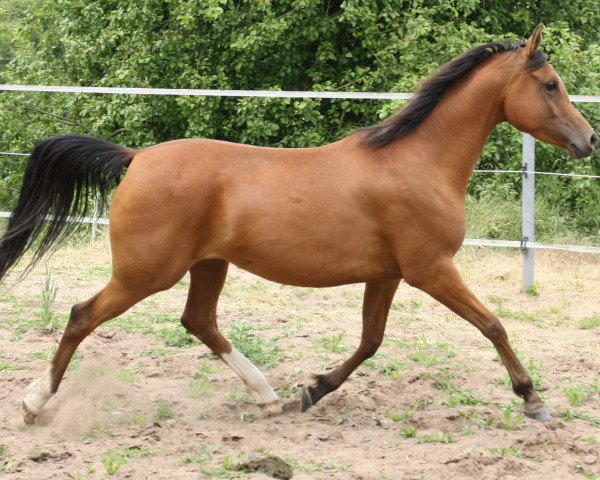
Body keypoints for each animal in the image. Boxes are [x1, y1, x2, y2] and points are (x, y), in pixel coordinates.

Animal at [0, 26, 596, 424]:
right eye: (550, 84)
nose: (589, 140)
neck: (419, 161)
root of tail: (137, 157)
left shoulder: (387, 274)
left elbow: (371, 340)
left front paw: (315, 389)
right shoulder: (430, 268)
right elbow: (492, 324)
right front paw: (533, 400)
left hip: (207, 264)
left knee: (199, 322)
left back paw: (268, 396)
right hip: (147, 272)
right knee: (82, 316)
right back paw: (33, 404)